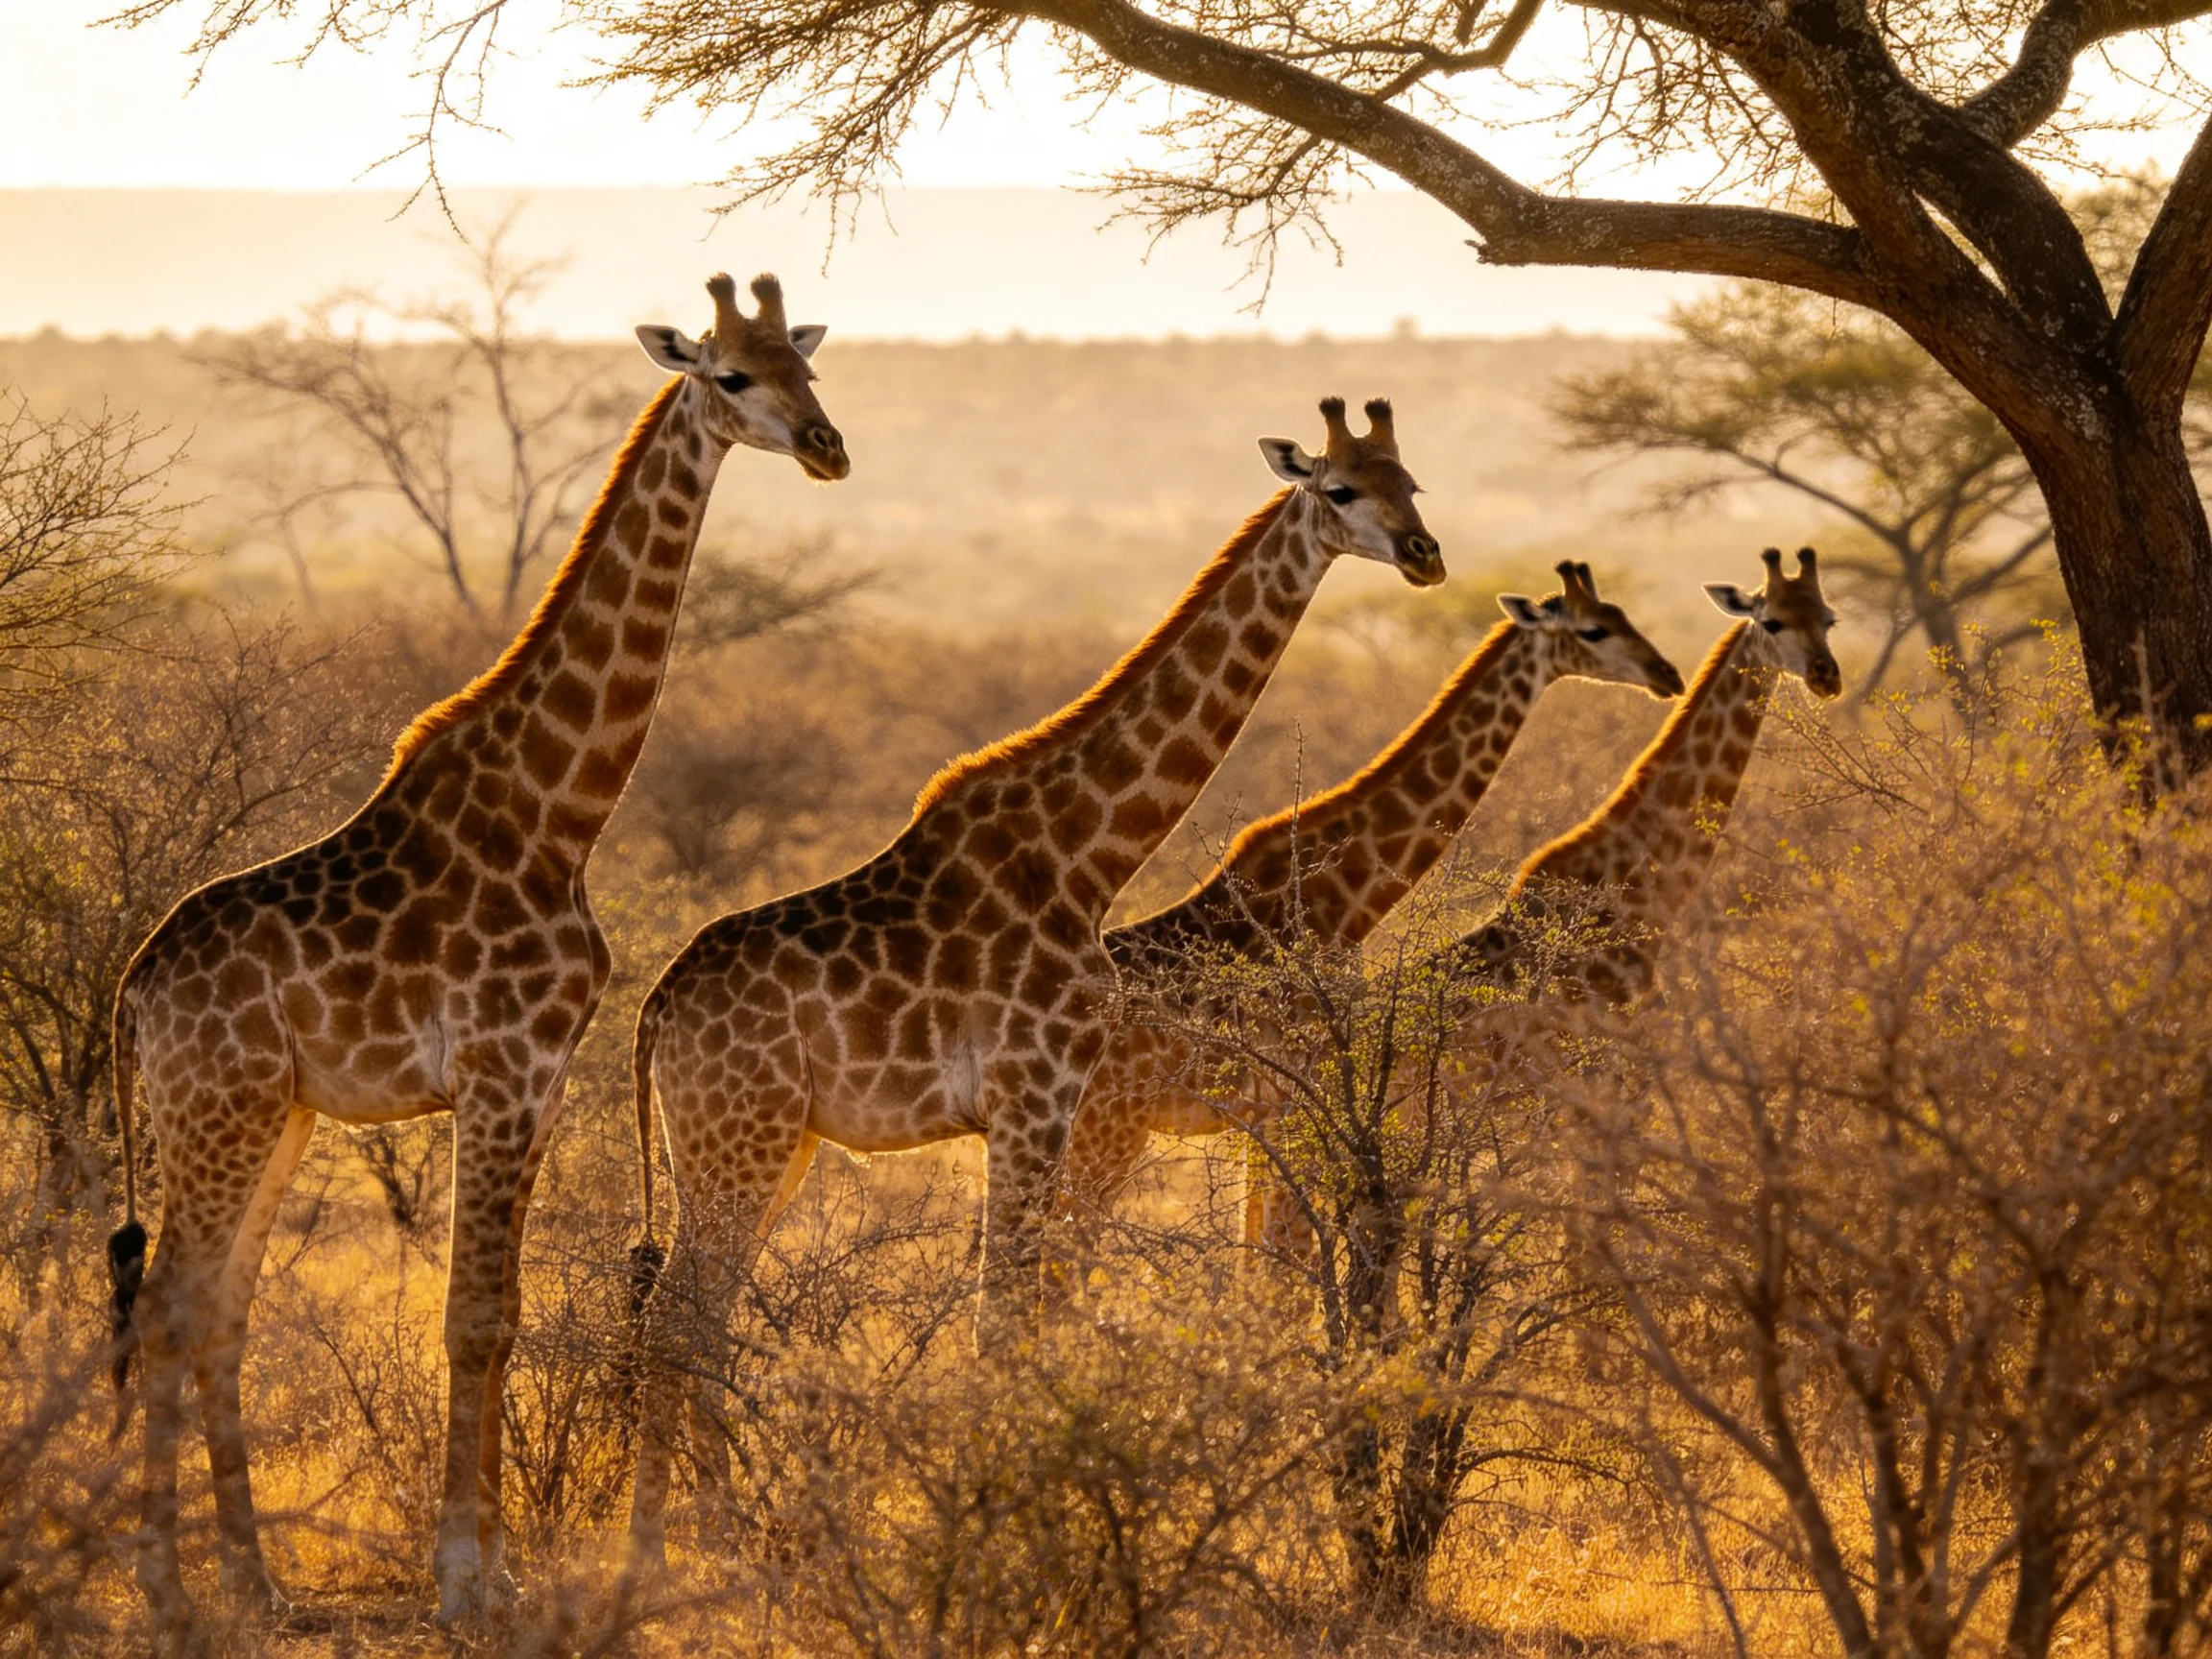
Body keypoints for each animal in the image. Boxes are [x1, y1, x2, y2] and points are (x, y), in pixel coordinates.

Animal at [104, 273, 847, 1631]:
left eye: (809, 366)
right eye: (730, 375)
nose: (828, 448)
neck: (560, 810)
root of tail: (134, 988)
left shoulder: (542, 1079)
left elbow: (496, 1315)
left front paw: (491, 1566)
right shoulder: (498, 1071)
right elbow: (471, 1321)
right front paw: (462, 1579)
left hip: (272, 1113)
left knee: (221, 1310)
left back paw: (254, 1582)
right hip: (221, 1107)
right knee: (174, 1309)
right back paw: (167, 1591)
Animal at [624, 396, 1442, 1561]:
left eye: (1410, 481)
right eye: (1341, 490)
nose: (1425, 555)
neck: (1087, 856)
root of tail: (654, 1010)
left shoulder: (1045, 1109)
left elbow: (1020, 1316)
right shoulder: (1034, 1099)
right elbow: (1004, 1319)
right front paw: (997, 1526)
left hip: (763, 1146)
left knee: (699, 1314)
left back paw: (720, 1534)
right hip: (739, 1142)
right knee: (677, 1316)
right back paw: (656, 1549)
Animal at [1058, 560, 1686, 1238]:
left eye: (1623, 614)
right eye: (1595, 630)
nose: (1668, 674)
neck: (1346, 895)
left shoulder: (1276, 1107)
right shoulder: (1295, 1091)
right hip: (1105, 1127)